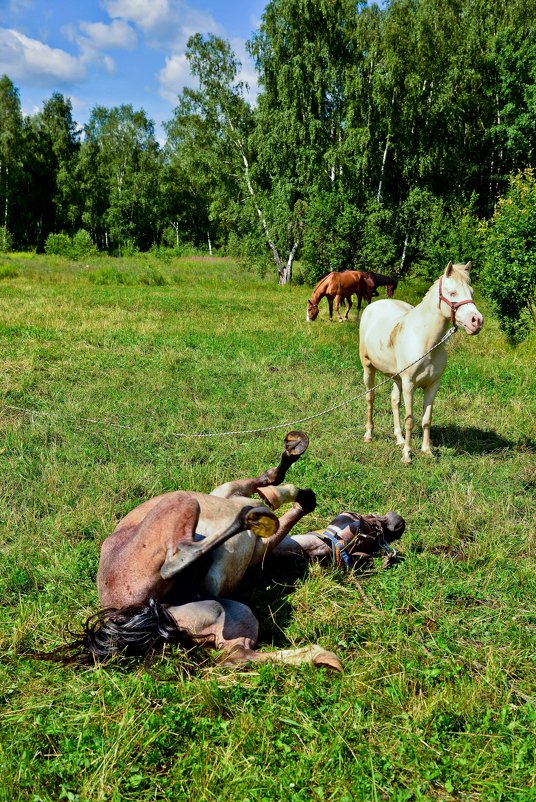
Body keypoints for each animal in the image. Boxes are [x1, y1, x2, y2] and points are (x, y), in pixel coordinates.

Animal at [358, 262, 484, 462]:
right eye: (452, 293)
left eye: (471, 292)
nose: (477, 321)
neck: (426, 342)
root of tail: (374, 306)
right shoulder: (409, 384)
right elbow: (410, 419)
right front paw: (407, 455)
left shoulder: (432, 385)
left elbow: (426, 419)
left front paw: (427, 451)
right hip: (368, 368)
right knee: (370, 398)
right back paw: (369, 435)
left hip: (396, 378)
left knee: (394, 401)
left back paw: (399, 439)